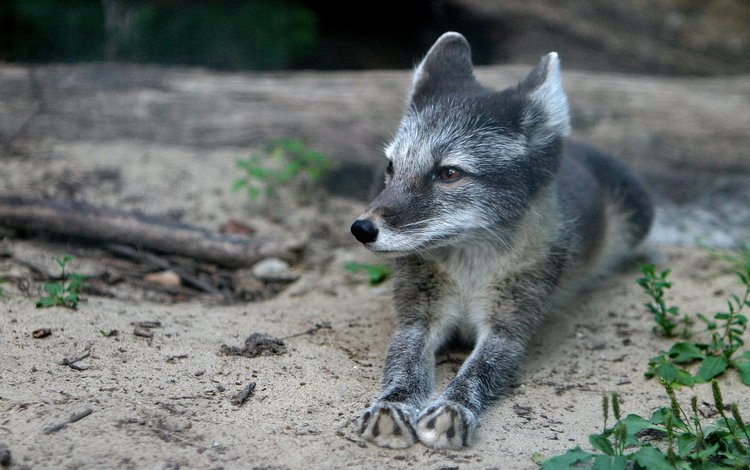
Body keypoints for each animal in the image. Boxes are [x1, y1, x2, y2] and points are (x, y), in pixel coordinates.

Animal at [350, 31, 656, 450]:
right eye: (391, 168)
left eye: (449, 173)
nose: (362, 229)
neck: (470, 271)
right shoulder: (415, 318)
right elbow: (404, 364)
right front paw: (392, 405)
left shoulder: (510, 328)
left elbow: (478, 370)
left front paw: (453, 408)